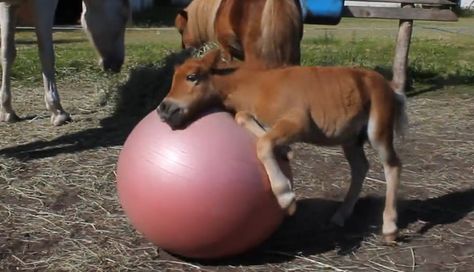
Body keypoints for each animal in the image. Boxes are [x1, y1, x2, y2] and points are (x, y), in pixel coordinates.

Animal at [0, 0, 130, 125]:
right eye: (124, 16)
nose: (117, 64)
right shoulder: (43, 4)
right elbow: (46, 53)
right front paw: (58, 112)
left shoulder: (8, 5)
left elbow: (7, 53)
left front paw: (7, 111)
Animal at [158, 50, 408, 242]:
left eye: (192, 76)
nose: (164, 109)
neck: (258, 85)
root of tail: (389, 86)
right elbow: (243, 119)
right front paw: (285, 151)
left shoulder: (299, 123)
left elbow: (263, 144)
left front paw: (285, 196)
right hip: (350, 139)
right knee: (360, 167)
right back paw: (340, 216)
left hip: (378, 130)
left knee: (393, 165)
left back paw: (389, 227)